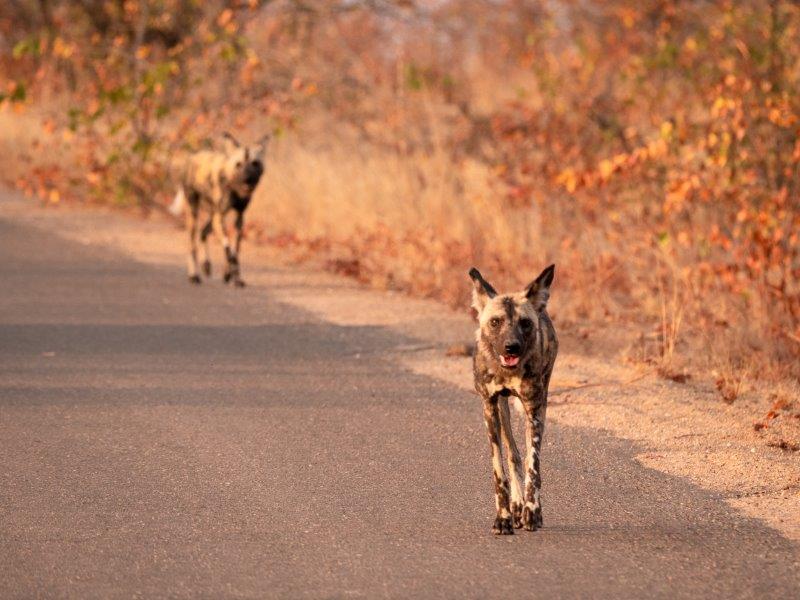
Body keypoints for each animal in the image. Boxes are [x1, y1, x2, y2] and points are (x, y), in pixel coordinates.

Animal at [169, 132, 268, 288]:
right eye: (238, 164)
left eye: (255, 163)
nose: (247, 178)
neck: (234, 188)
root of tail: (192, 157)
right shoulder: (221, 218)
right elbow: (229, 252)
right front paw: (229, 274)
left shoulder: (239, 218)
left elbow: (235, 252)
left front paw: (233, 277)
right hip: (196, 214)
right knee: (192, 246)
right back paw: (194, 276)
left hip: (213, 215)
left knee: (203, 233)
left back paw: (206, 265)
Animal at [468, 264, 556, 536]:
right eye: (495, 322)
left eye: (525, 323)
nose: (511, 347)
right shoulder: (489, 407)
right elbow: (500, 472)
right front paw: (504, 517)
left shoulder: (533, 408)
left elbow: (533, 465)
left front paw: (532, 512)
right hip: (503, 411)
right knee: (513, 453)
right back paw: (516, 505)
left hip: (541, 404)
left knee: (527, 458)